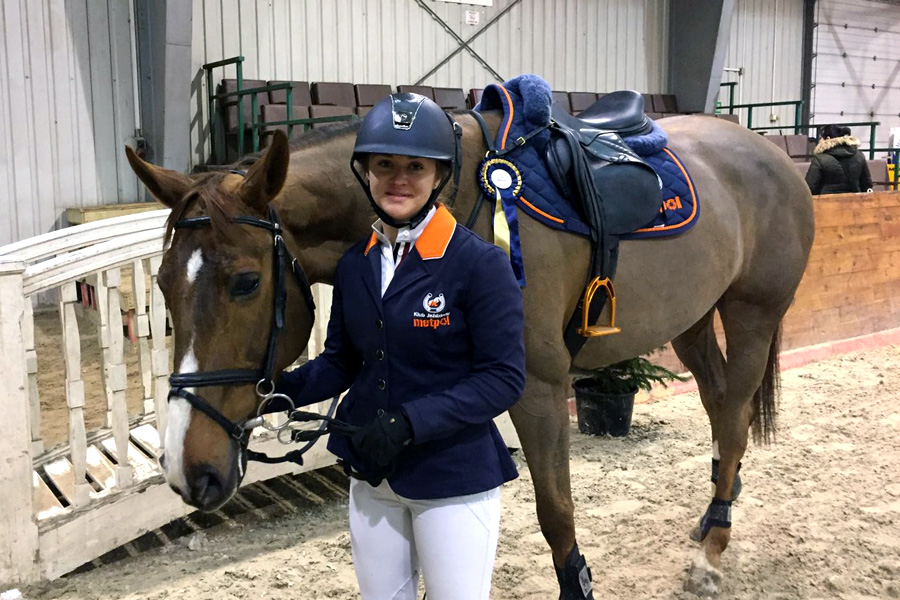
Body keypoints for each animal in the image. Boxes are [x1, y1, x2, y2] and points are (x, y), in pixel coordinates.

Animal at [125, 109, 814, 597]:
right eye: (162, 283)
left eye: (245, 282)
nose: (188, 469)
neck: (456, 204)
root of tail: (770, 152)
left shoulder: (538, 388)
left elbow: (556, 515)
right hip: (694, 321)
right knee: (721, 407)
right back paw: (713, 516)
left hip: (752, 316)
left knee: (733, 419)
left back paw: (711, 553)